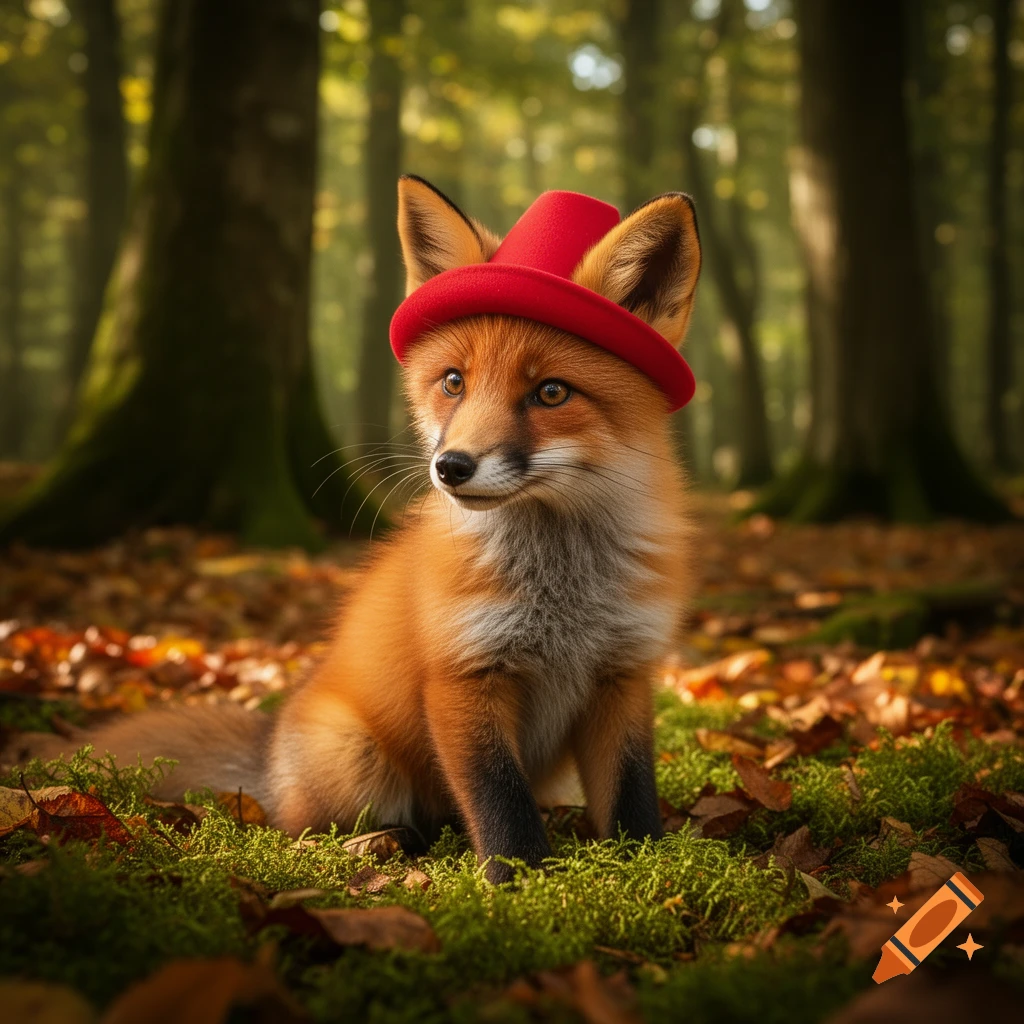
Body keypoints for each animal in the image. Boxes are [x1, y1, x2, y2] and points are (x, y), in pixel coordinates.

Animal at [21, 177, 703, 884]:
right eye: (453, 382)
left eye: (550, 393)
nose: (451, 466)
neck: (564, 589)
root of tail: (270, 753)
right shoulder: (463, 676)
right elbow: (499, 799)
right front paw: (519, 884)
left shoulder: (624, 674)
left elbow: (631, 795)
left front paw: (645, 868)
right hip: (358, 764)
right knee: (311, 827)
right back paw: (387, 845)